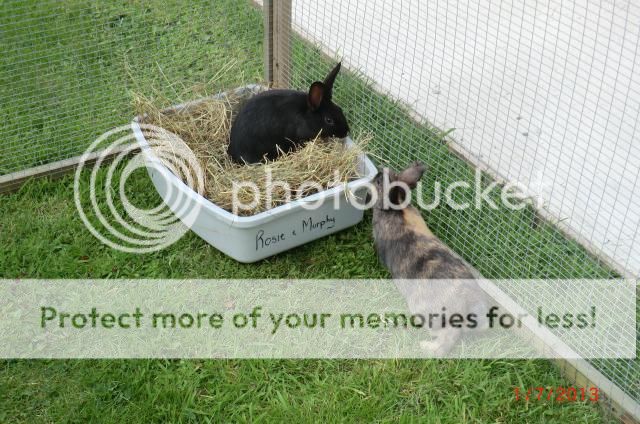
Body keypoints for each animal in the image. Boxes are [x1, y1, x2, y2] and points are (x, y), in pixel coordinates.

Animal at [370, 162, 490, 354]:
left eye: (380, 182)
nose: (377, 172)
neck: (398, 209)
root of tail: (465, 304)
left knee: (446, 338)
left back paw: (426, 347)